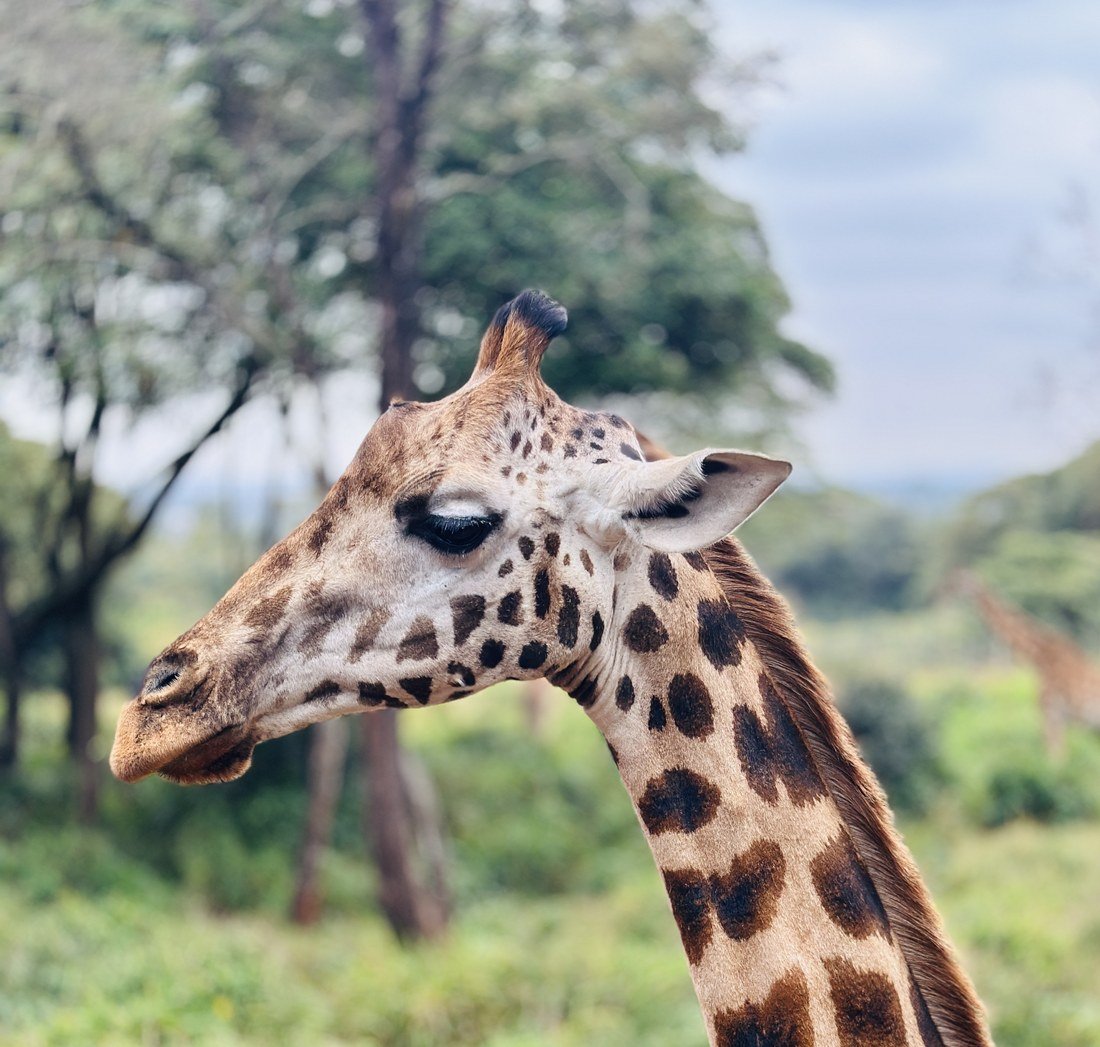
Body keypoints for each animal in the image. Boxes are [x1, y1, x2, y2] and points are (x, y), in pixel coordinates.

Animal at [956, 570, 1100, 757]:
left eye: (954, 581)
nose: (938, 592)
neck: (1039, 658)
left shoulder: (1050, 716)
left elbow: (1055, 760)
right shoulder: (1058, 720)